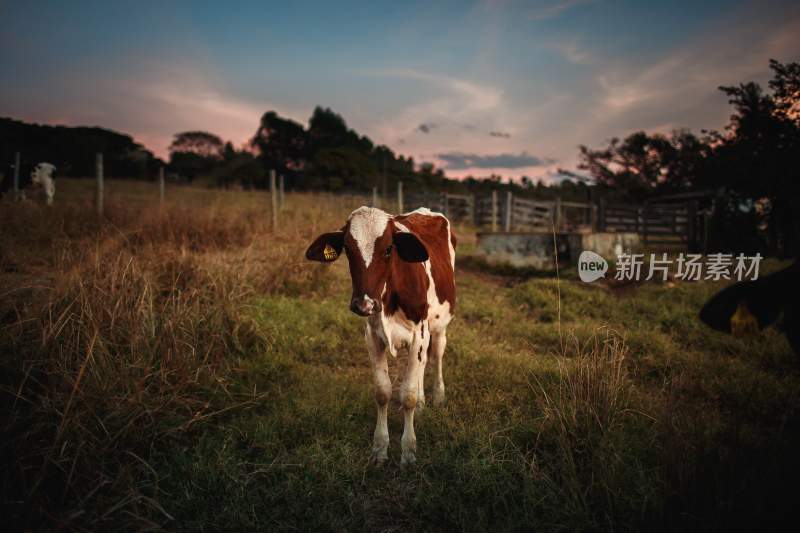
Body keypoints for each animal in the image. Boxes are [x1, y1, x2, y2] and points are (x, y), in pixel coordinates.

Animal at [306, 206, 456, 464]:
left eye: (388, 249)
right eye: (348, 249)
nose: (363, 304)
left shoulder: (419, 333)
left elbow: (408, 395)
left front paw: (408, 450)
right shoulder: (372, 336)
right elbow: (383, 391)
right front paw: (380, 447)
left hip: (437, 327)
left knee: (436, 356)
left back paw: (438, 396)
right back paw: (424, 402)